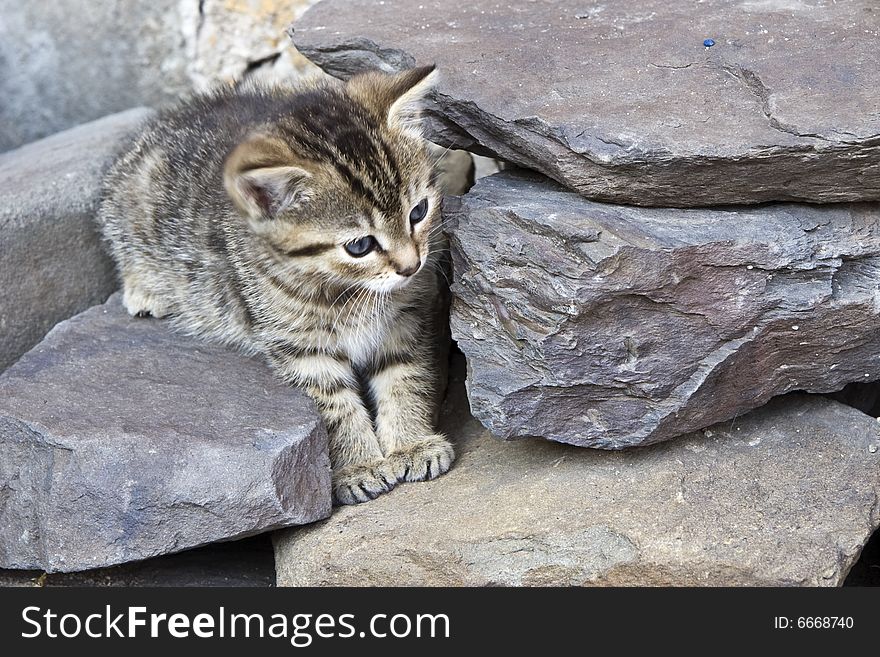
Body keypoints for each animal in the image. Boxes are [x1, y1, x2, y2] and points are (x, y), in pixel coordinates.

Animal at [98, 66, 454, 504]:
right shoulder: (299, 347)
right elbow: (335, 407)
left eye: (418, 212)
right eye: (359, 246)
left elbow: (404, 377)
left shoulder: (406, 319)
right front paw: (357, 466)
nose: (411, 265)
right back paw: (145, 289)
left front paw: (412, 443)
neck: (345, 290)